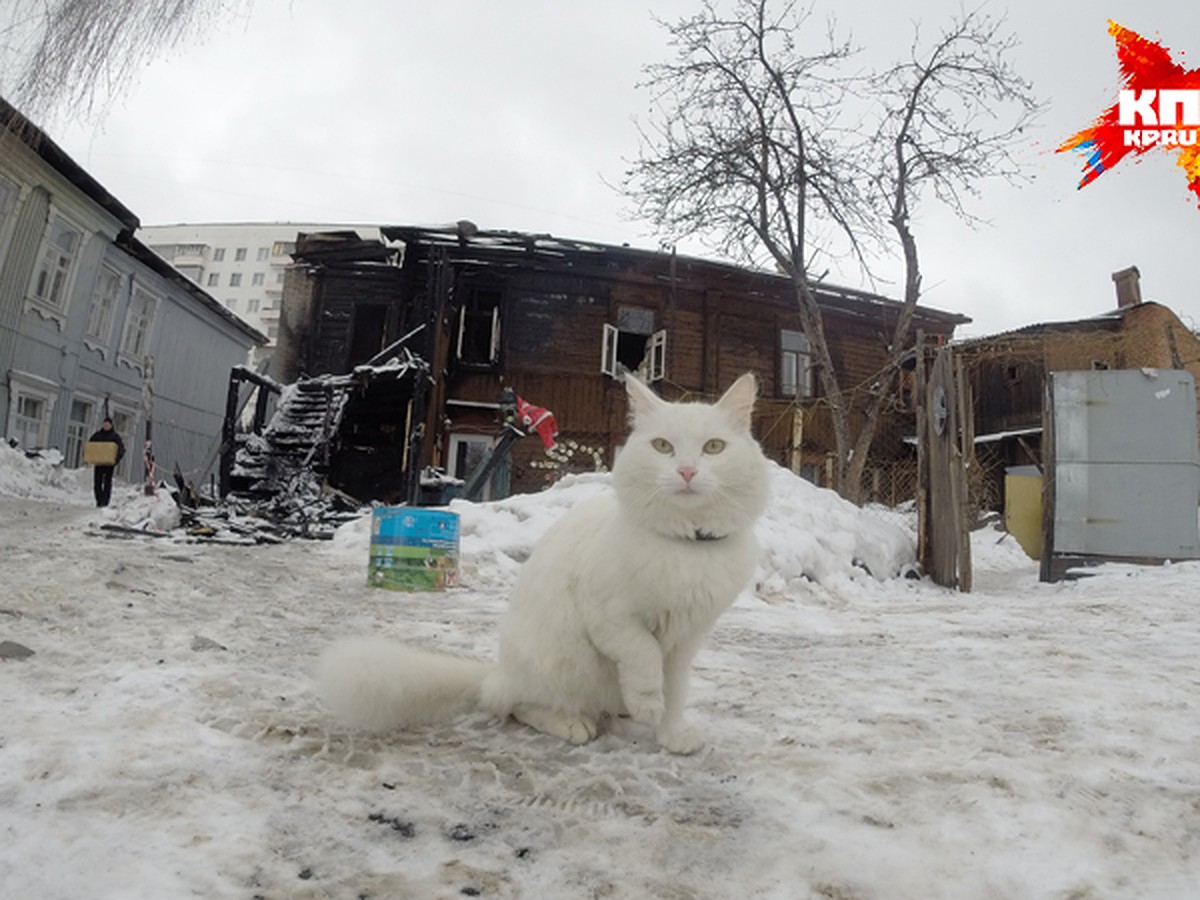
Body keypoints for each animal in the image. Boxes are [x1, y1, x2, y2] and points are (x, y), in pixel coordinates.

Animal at [316, 374, 768, 753]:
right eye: (662, 447)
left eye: (713, 447)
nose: (687, 471)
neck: (685, 544)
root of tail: (498, 672)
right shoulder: (611, 617)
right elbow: (642, 656)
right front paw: (647, 703)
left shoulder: (686, 638)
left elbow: (675, 689)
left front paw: (670, 732)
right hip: (561, 664)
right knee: (518, 706)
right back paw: (574, 723)